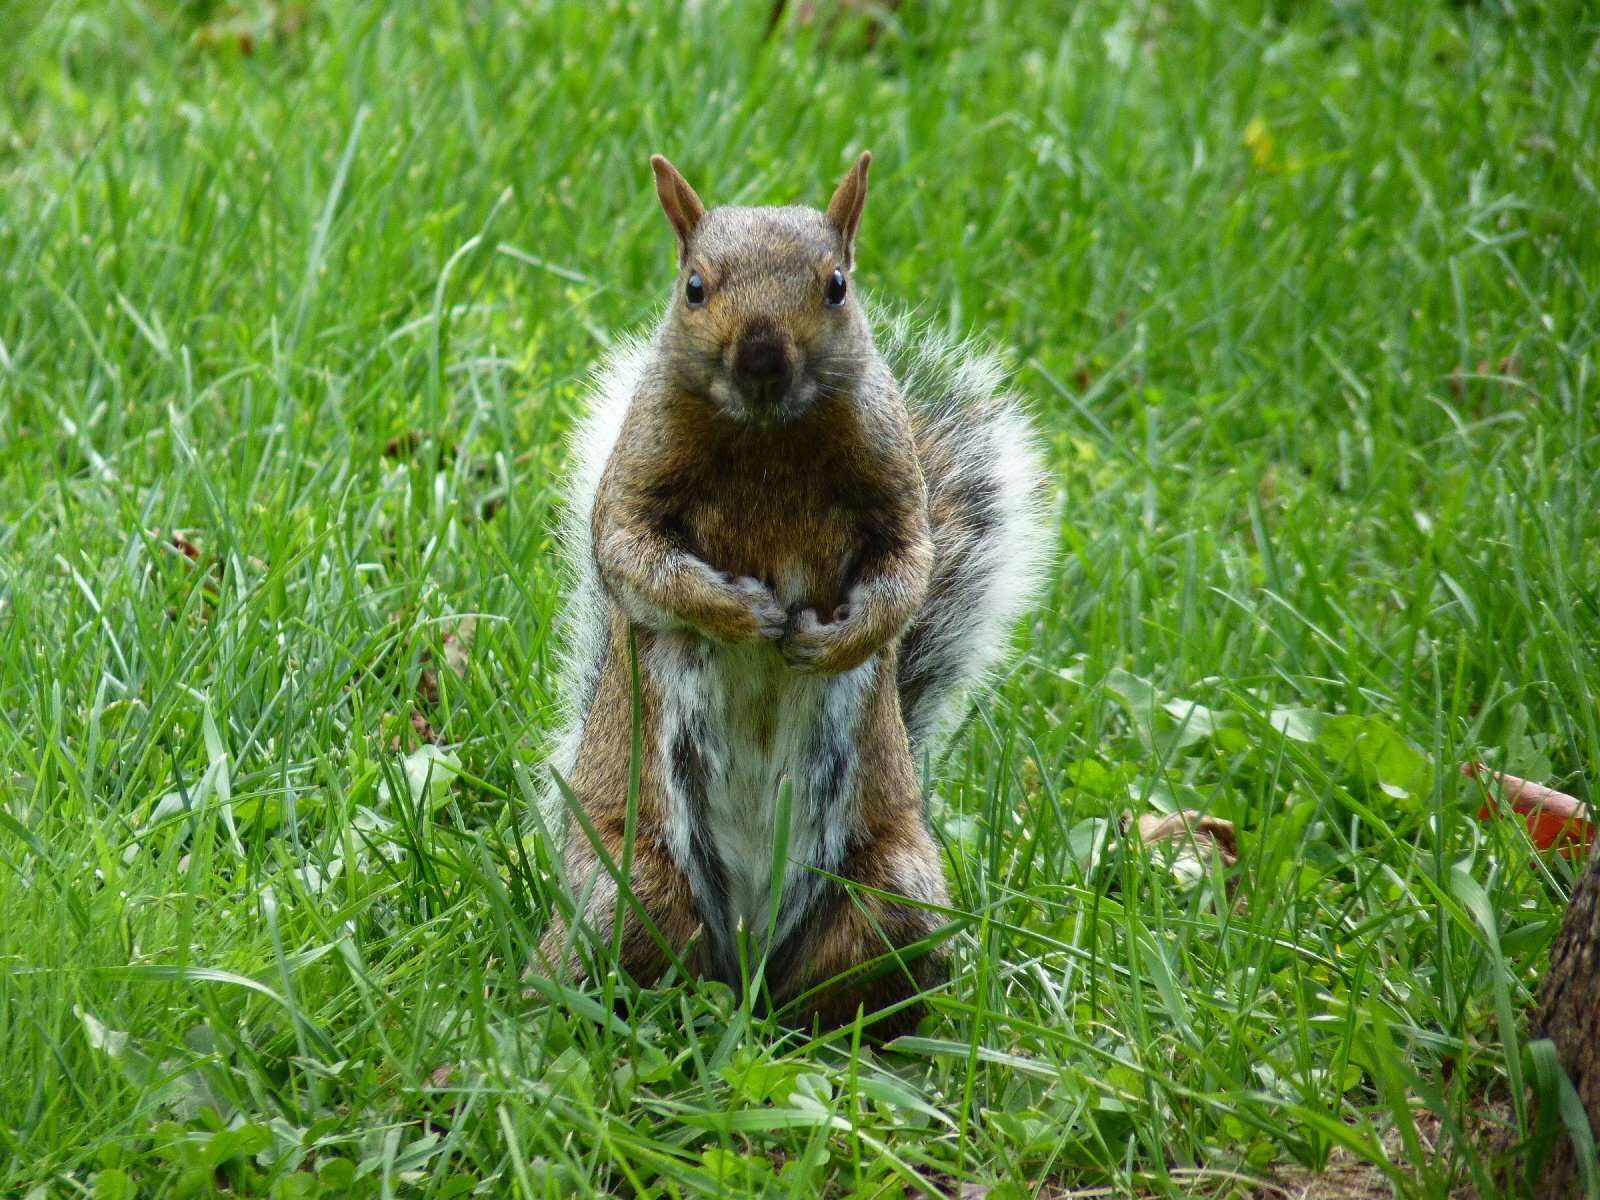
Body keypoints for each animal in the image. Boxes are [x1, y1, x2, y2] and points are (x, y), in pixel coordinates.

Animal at [537, 150, 1049, 1036]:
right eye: (694, 287)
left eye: (837, 285)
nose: (762, 358)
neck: (768, 433)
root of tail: (747, 956)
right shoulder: (637, 478)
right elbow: (631, 555)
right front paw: (739, 612)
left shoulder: (894, 484)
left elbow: (907, 572)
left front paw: (833, 640)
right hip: (628, 887)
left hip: (891, 894)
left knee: (838, 995)